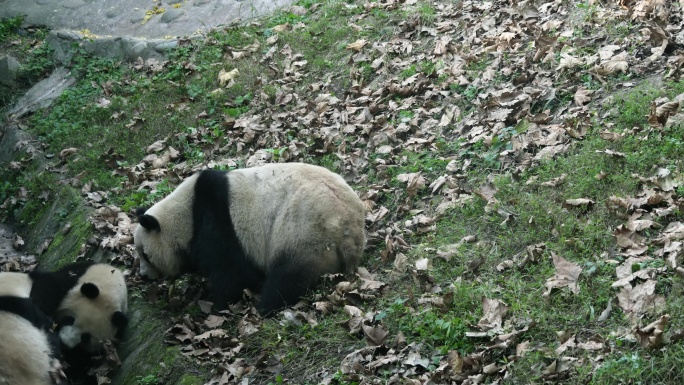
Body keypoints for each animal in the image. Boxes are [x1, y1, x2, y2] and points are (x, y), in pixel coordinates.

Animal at [135, 162, 368, 316]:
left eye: (145, 255)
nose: (143, 276)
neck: (185, 215)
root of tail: (349, 226)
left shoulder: (216, 223)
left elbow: (232, 273)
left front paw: (215, 305)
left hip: (305, 229)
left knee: (289, 275)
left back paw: (265, 306)